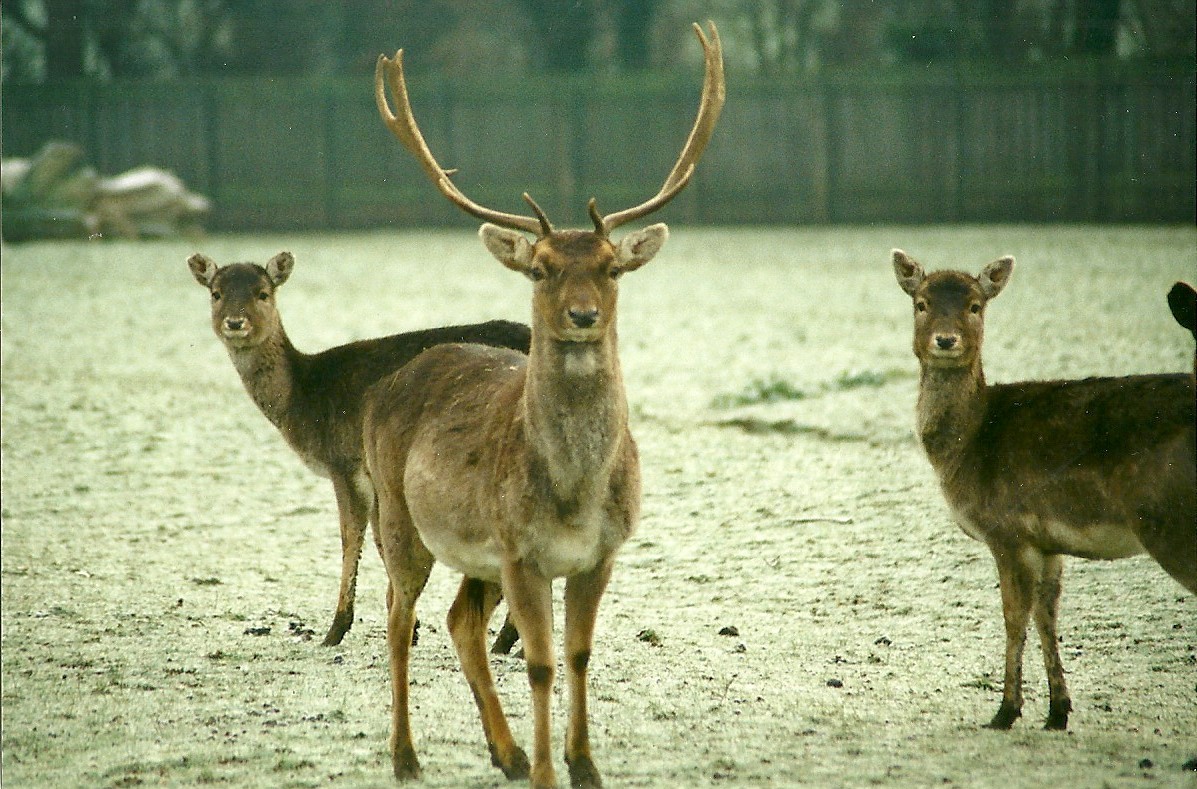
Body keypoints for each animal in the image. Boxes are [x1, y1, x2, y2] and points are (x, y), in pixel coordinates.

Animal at [188, 251, 531, 647]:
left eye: (263, 293)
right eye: (216, 293)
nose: (235, 322)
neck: (303, 399)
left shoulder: (344, 463)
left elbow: (351, 536)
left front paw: (336, 628)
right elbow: (381, 539)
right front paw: (409, 624)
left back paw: (508, 639)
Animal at [363, 21, 723, 787]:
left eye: (612, 267)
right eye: (540, 268)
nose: (583, 315)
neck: (573, 495)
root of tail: (392, 380)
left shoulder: (600, 553)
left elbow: (579, 653)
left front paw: (583, 764)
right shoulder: (520, 550)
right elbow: (539, 662)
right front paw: (550, 774)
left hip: (475, 559)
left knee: (458, 621)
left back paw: (506, 751)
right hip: (400, 518)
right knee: (398, 619)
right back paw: (406, 755)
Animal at [892, 249, 1196, 733]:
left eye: (975, 305)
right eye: (921, 303)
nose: (945, 340)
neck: (971, 442)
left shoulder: (1007, 530)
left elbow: (1013, 618)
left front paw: (1004, 712)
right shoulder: (1047, 541)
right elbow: (1046, 617)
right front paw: (1057, 711)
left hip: (1171, 522)